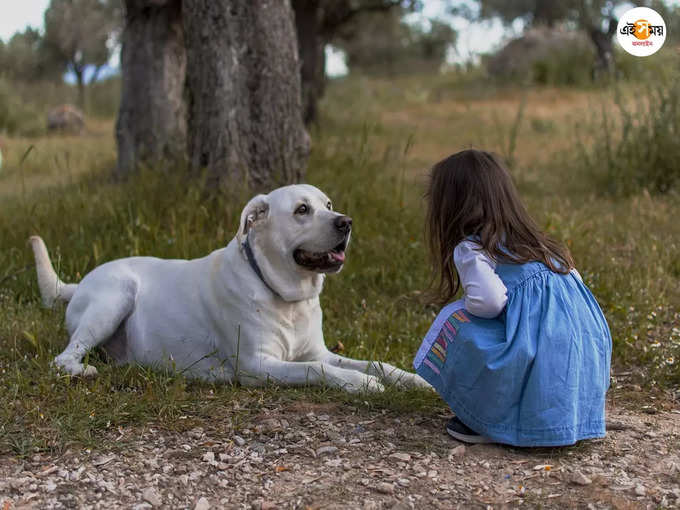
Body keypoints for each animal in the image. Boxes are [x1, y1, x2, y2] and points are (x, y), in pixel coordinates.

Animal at [31, 185, 428, 392]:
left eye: (328, 205)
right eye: (302, 210)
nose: (346, 222)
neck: (286, 297)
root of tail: (79, 283)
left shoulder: (318, 350)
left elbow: (376, 362)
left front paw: (412, 380)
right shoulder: (257, 365)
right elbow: (319, 371)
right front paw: (362, 383)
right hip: (115, 296)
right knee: (63, 358)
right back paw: (82, 370)